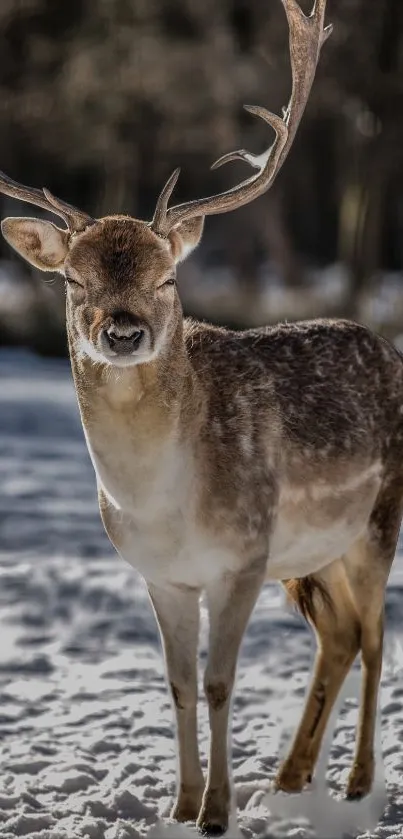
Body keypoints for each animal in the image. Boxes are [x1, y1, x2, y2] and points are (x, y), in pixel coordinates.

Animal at [0, 3, 400, 836]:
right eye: (73, 278)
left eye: (168, 277)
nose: (123, 330)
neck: (163, 503)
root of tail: (388, 343)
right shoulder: (161, 574)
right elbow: (179, 684)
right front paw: (180, 805)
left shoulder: (241, 557)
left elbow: (220, 683)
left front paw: (216, 811)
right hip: (311, 556)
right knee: (341, 634)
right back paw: (288, 779)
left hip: (378, 520)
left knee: (378, 635)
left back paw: (353, 783)